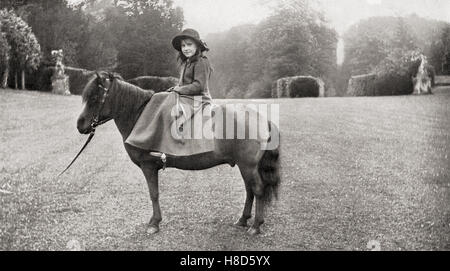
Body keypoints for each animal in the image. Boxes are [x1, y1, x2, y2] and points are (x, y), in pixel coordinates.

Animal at [77, 72, 282, 236]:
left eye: (94, 98)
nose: (80, 125)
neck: (139, 115)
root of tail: (261, 118)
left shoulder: (148, 166)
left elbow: (154, 193)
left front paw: (154, 223)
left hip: (248, 166)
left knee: (257, 190)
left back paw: (255, 225)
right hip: (245, 166)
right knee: (250, 190)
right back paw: (243, 219)